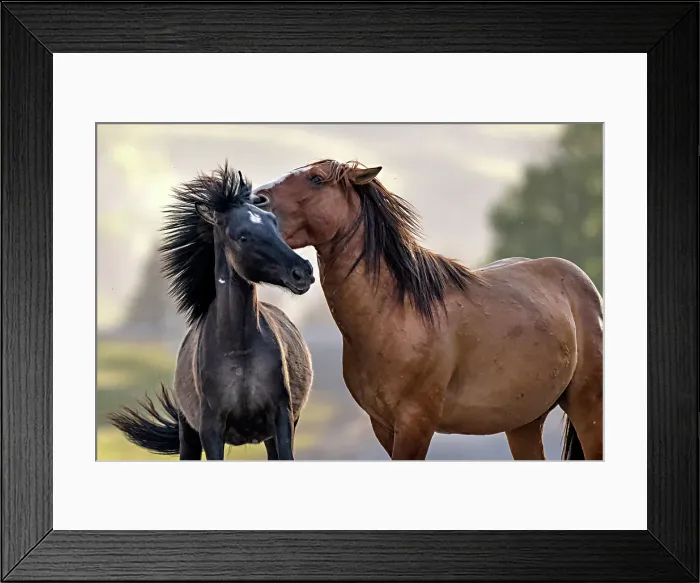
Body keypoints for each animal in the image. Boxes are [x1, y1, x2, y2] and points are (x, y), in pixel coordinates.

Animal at [108, 163, 315, 461]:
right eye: (242, 236)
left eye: (274, 224)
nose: (303, 272)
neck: (239, 352)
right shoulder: (211, 430)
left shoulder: (282, 420)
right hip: (188, 434)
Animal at [248, 159, 603, 461]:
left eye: (317, 178)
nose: (255, 200)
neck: (395, 314)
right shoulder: (383, 426)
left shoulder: (415, 424)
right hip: (524, 421)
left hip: (587, 409)